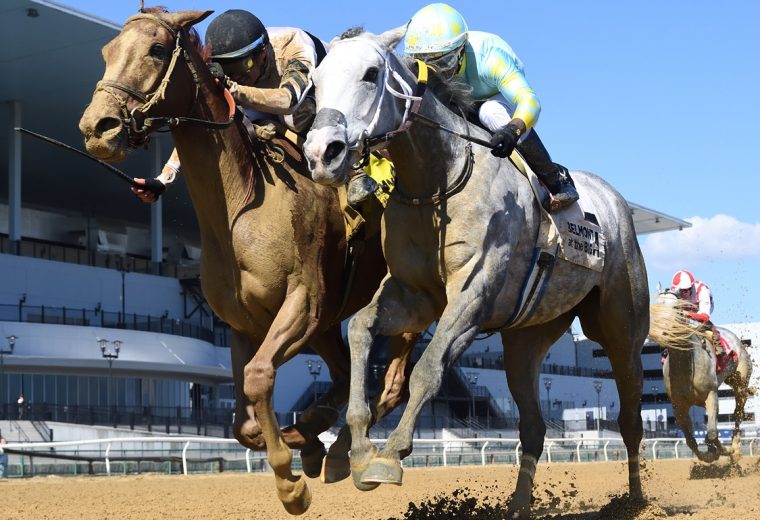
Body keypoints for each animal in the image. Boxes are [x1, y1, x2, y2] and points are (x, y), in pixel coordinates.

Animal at [77, 10, 416, 512]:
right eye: (106, 52)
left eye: (156, 49)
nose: (97, 127)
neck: (243, 206)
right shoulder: (242, 325)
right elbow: (243, 421)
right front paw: (300, 447)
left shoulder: (305, 304)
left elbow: (259, 378)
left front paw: (292, 485)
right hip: (327, 327)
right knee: (343, 375)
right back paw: (323, 441)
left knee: (393, 379)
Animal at [306, 27, 652, 516]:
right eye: (315, 82)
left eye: (371, 74)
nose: (322, 153)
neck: (439, 177)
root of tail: (614, 200)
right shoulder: (415, 295)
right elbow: (359, 329)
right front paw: (356, 450)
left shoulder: (473, 296)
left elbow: (428, 367)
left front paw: (389, 455)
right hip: (527, 339)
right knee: (533, 426)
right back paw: (519, 504)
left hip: (622, 328)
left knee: (629, 419)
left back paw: (636, 501)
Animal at [652, 292, 752, 464]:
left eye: (675, 308)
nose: (661, 330)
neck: (686, 367)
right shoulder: (678, 405)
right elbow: (691, 441)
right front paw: (710, 453)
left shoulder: (711, 394)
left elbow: (711, 433)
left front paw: (722, 450)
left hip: (741, 383)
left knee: (738, 414)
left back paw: (735, 449)